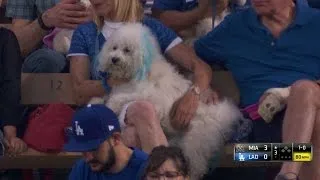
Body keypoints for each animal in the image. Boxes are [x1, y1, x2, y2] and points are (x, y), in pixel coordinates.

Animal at [89, 23, 242, 179]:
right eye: (114, 48)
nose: (114, 59)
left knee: (197, 166)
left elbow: (121, 99)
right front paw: (96, 102)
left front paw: (111, 106)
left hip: (195, 142)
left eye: (127, 50)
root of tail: (225, 113)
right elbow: (104, 99)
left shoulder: (149, 96)